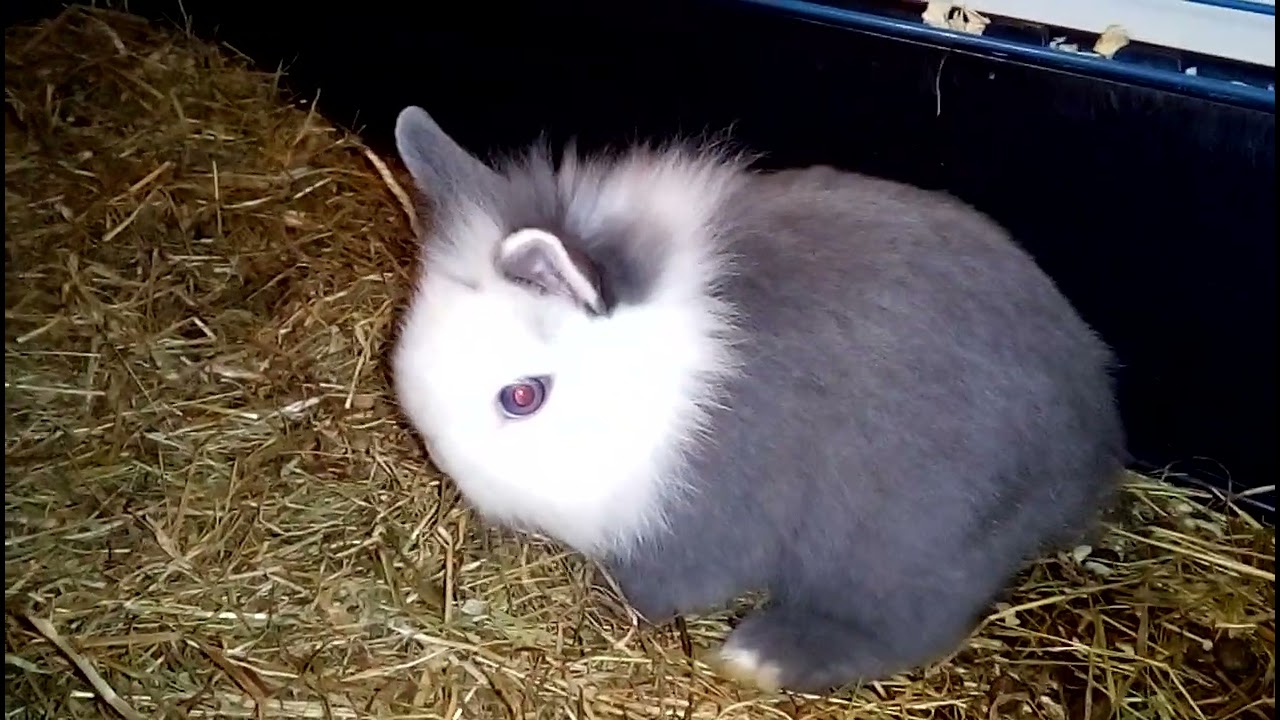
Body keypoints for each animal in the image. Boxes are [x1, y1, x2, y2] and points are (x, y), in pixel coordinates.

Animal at [388, 105, 1127, 694]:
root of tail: (1090, 443)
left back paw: (757, 658)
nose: (445, 464)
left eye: (522, 396)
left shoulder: (696, 522)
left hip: (908, 538)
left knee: (913, 621)